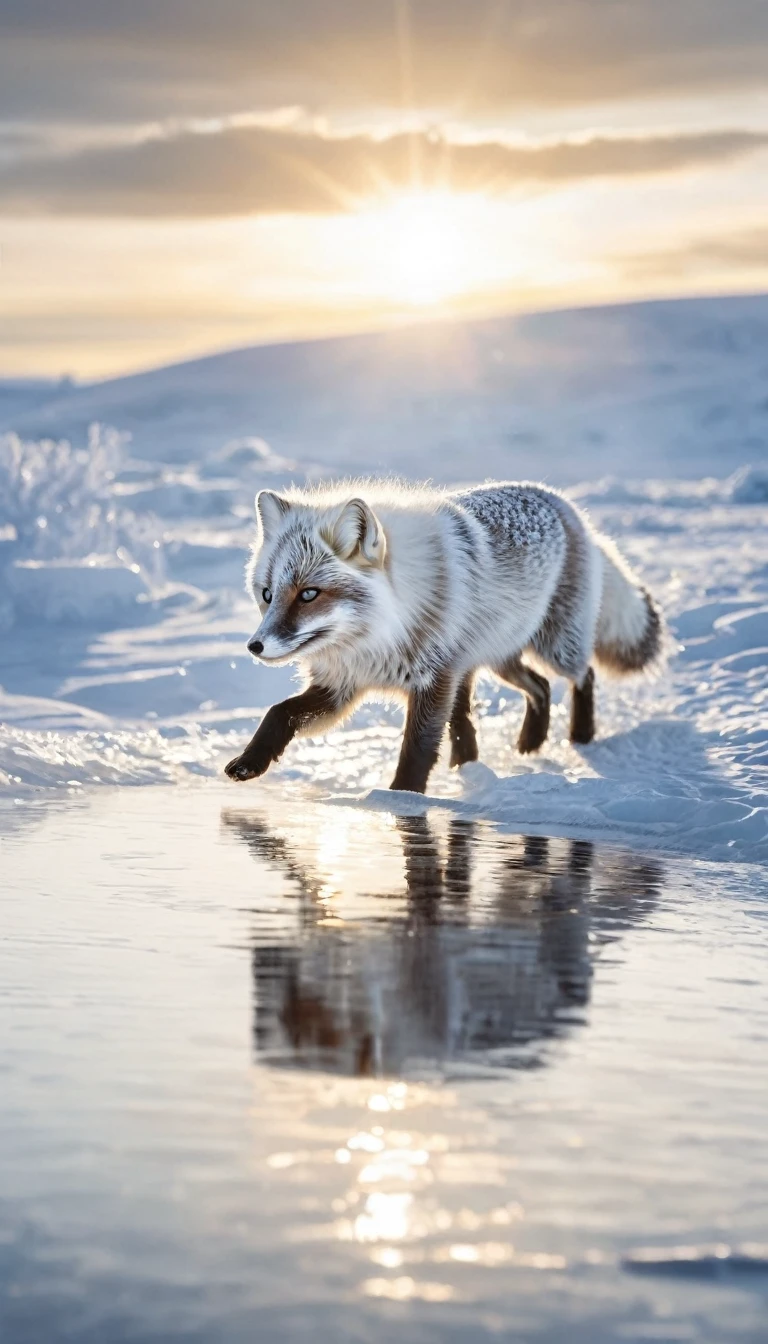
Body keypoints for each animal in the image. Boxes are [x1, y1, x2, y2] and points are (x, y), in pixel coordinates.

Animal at [223, 483, 661, 790]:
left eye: (309, 594)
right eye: (267, 594)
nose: (254, 646)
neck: (373, 642)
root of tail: (566, 505)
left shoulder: (433, 680)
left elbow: (416, 750)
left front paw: (401, 799)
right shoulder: (342, 687)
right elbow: (278, 712)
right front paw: (250, 762)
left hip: (555, 647)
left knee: (583, 675)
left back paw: (580, 739)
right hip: (496, 658)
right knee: (539, 688)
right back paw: (527, 746)